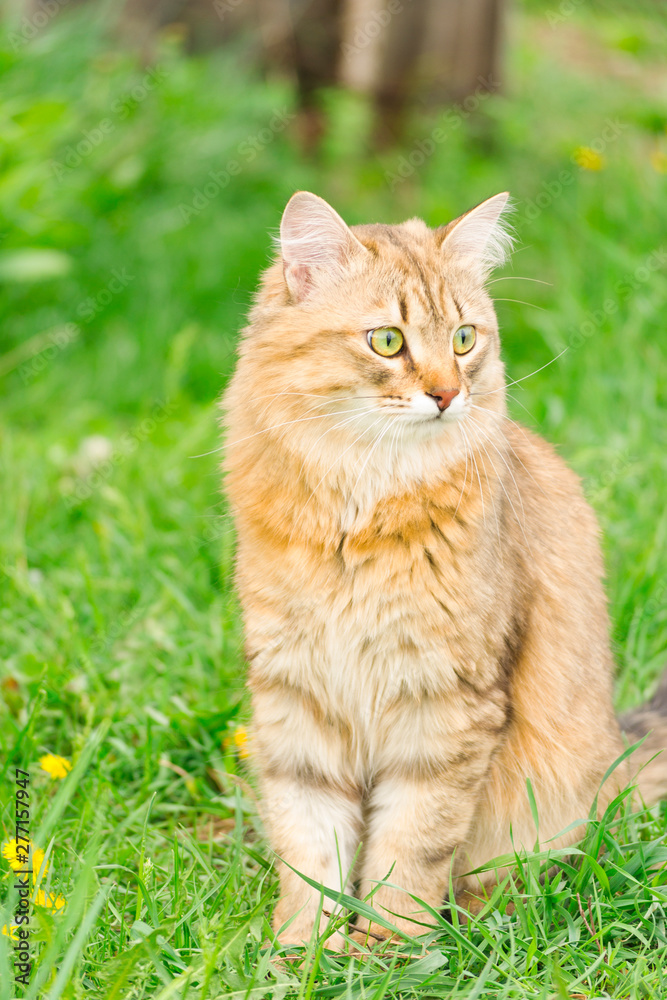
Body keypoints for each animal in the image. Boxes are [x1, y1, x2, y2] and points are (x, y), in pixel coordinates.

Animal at [220, 191, 667, 948]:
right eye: (387, 342)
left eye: (463, 339)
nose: (446, 394)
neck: (358, 511)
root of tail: (615, 746)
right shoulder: (298, 695)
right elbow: (310, 849)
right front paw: (301, 952)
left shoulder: (444, 703)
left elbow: (409, 850)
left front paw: (383, 950)